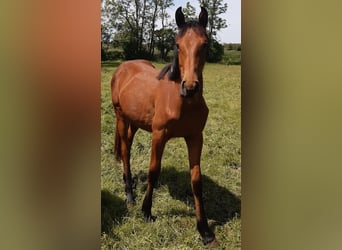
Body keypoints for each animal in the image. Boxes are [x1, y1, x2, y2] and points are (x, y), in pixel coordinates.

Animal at [111, 6, 215, 245]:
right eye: (177, 44)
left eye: (205, 44)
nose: (190, 87)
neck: (182, 102)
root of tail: (123, 67)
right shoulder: (159, 136)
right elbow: (153, 171)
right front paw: (147, 211)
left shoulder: (195, 137)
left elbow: (196, 180)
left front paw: (204, 229)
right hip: (121, 117)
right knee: (125, 151)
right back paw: (129, 196)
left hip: (134, 121)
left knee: (128, 145)